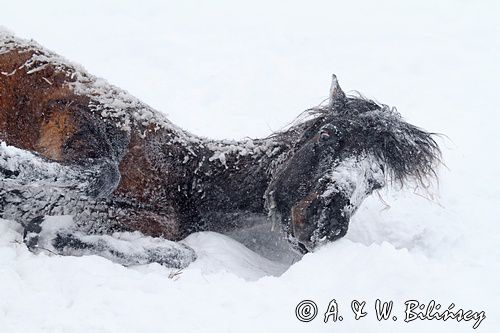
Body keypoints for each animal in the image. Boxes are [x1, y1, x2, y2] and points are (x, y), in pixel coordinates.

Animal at [0, 31, 440, 268]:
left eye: (376, 181)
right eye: (328, 135)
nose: (328, 222)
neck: (185, 177)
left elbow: (183, 254)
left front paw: (45, 229)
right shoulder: (74, 112)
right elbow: (101, 173)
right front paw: (12, 181)